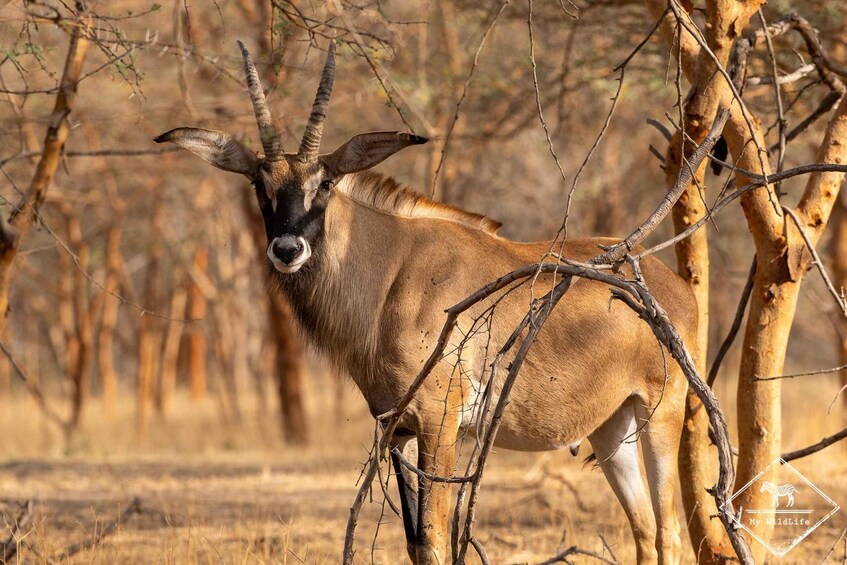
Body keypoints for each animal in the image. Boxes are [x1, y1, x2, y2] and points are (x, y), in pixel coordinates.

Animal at [156, 40, 695, 565]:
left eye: (324, 183)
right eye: (258, 184)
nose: (288, 249)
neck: (391, 271)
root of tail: (674, 285)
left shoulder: (440, 418)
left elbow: (435, 535)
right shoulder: (396, 425)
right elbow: (416, 543)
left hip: (660, 412)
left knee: (669, 530)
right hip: (612, 428)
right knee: (644, 530)